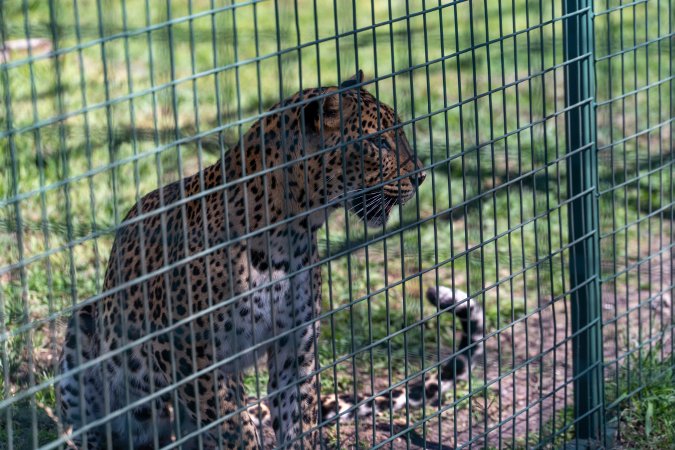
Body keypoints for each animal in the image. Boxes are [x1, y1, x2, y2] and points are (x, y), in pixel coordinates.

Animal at [56, 70, 462, 450]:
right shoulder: (188, 351)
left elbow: (298, 418)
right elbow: (233, 424)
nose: (422, 176)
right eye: (379, 142)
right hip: (83, 333)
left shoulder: (296, 347)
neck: (289, 234)